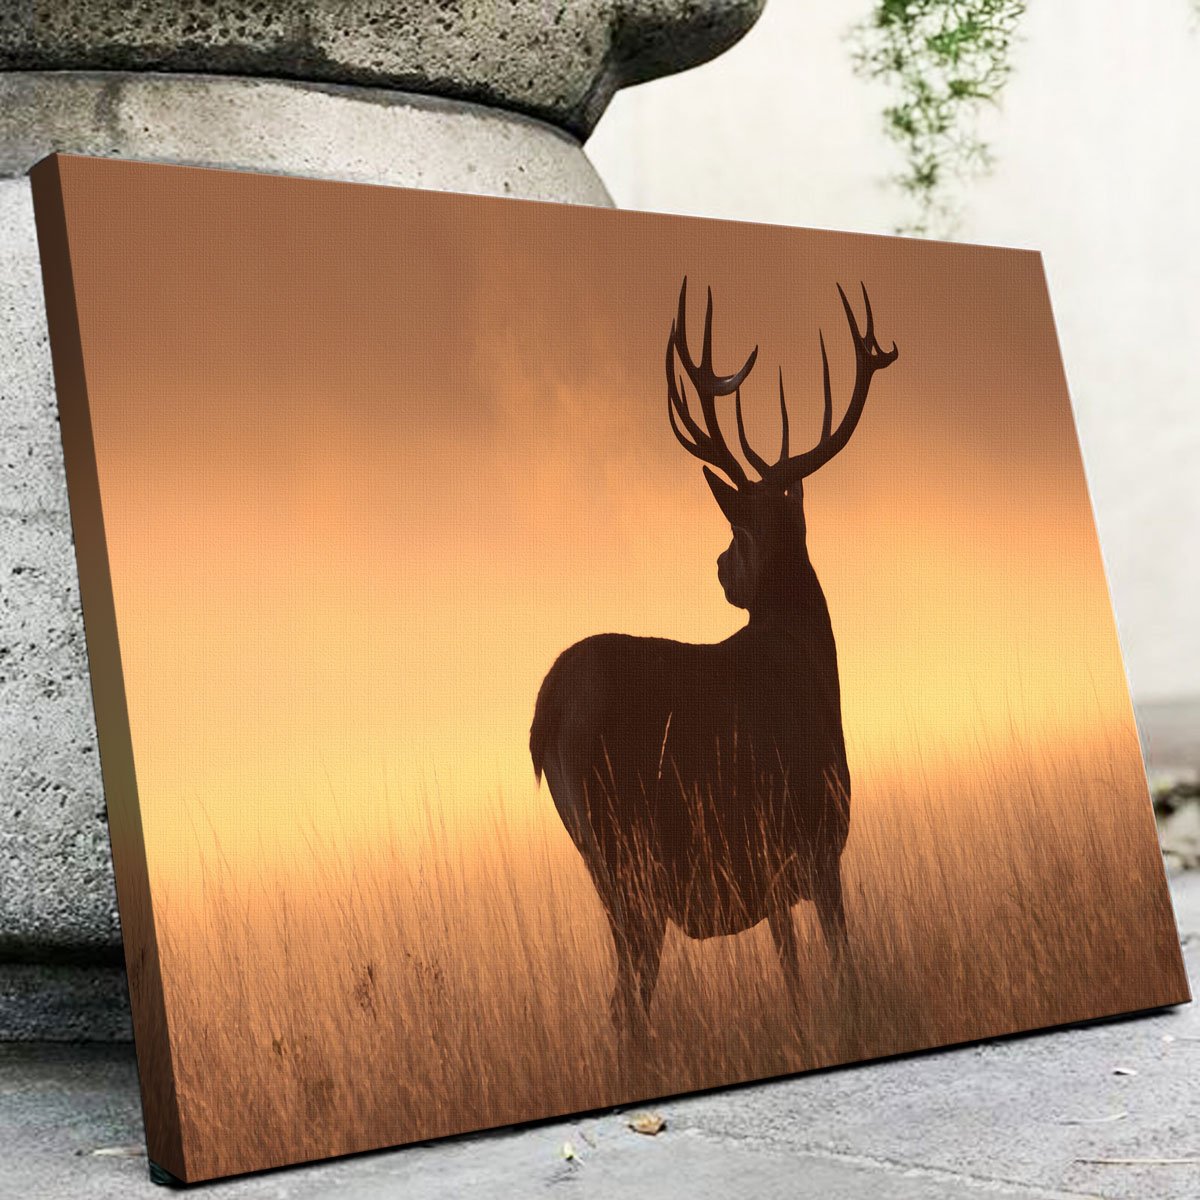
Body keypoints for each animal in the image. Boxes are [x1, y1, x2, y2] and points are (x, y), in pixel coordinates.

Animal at [530, 277, 898, 1060]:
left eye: (737, 533)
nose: (722, 566)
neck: (810, 671)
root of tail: (542, 720)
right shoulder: (813, 835)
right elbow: (843, 970)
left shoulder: (771, 870)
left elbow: (793, 974)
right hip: (629, 851)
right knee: (626, 1002)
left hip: (613, 865)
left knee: (624, 998)